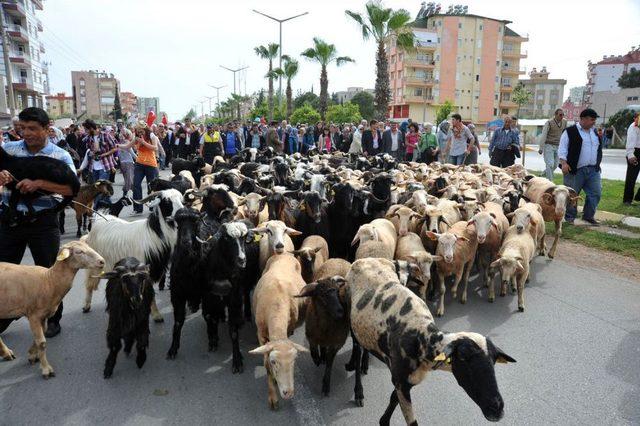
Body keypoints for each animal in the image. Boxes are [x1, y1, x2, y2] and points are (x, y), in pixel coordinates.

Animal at [0, 241, 105, 378]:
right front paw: (46, 369)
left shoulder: (43, 315)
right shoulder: (33, 315)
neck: (49, 280)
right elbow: (42, 342)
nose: (102, 261)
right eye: (79, 252)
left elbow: (42, 333)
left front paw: (32, 355)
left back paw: (6, 353)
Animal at [249, 253, 308, 410]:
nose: (288, 393)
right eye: (274, 361)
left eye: (294, 360)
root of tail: (285, 253)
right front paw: (272, 397)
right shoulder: (261, 335)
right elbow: (266, 366)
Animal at [344, 255, 516, 424]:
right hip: (351, 322)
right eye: (463, 358)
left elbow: (393, 399)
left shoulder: (407, 381)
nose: (497, 408)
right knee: (357, 350)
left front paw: (384, 419)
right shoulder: (400, 380)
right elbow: (411, 420)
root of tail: (364, 259)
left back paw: (366, 363)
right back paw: (358, 389)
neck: (422, 338)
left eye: (494, 361)